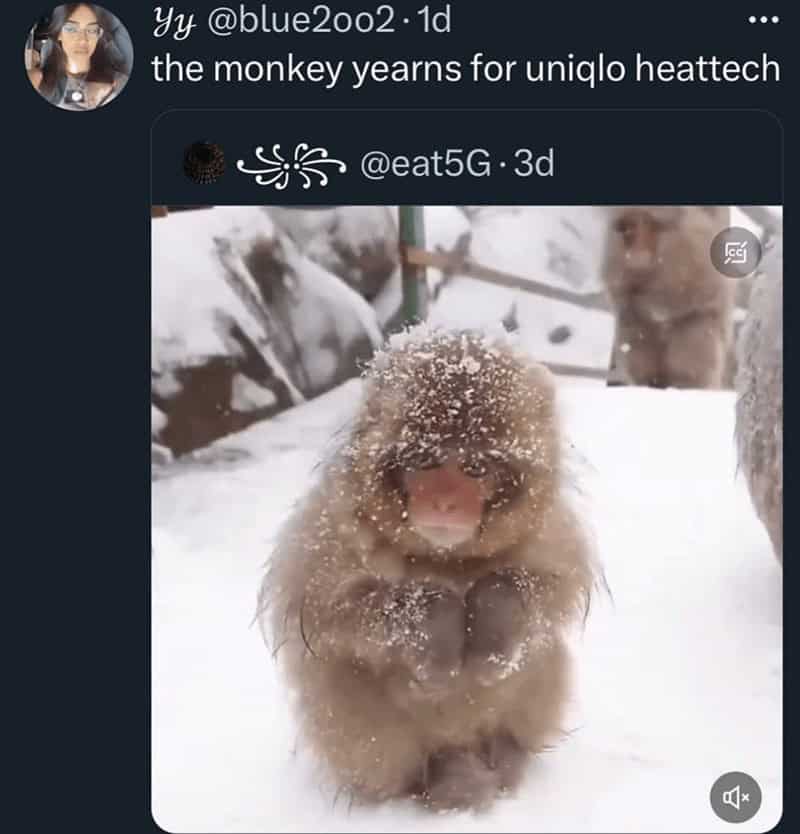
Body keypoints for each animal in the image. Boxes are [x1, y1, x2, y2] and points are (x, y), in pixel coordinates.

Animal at [259, 327, 598, 812]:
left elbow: (554, 588)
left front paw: (494, 615)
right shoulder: (329, 527)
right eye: (425, 462)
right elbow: (325, 611)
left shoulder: (549, 529)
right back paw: (439, 779)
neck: (445, 556)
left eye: (475, 467)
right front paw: (435, 618)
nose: (445, 502)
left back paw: (505, 755)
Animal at [601, 206, 735, 389]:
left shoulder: (694, 261)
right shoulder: (616, 256)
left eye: (654, 225)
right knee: (636, 341)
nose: (635, 252)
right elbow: (620, 293)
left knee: (693, 351)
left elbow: (692, 292)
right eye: (627, 229)